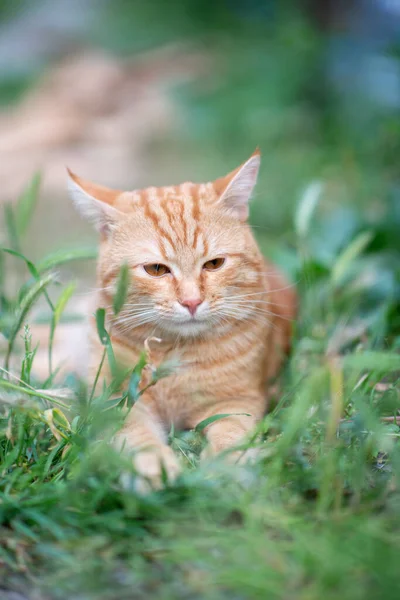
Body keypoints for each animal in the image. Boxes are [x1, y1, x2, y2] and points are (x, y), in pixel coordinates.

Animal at [67, 149, 296, 488]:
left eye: (214, 264)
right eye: (156, 269)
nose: (191, 301)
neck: (175, 353)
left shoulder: (237, 402)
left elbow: (232, 433)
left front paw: (227, 466)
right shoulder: (118, 402)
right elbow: (135, 435)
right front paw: (152, 466)